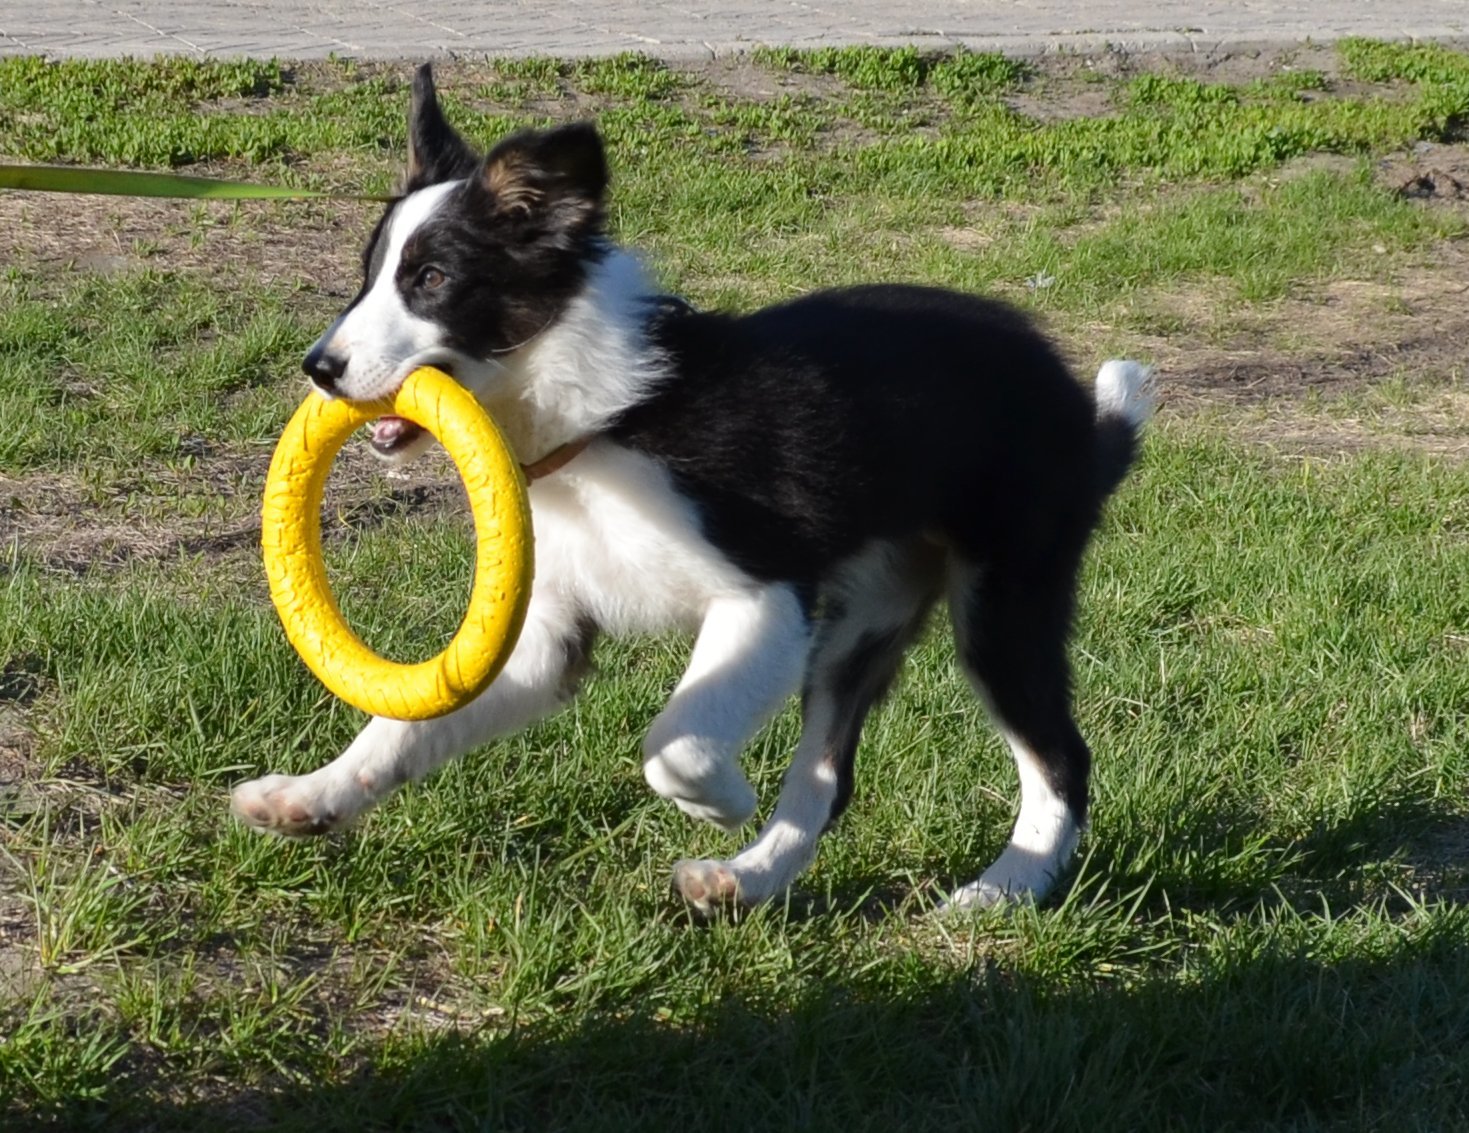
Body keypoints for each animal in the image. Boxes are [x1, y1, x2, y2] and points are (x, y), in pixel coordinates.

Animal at [229, 62, 1151, 916]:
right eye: (369, 274)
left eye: (431, 280)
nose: (320, 369)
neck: (599, 417)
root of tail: (1080, 412)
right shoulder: (542, 639)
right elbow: (405, 725)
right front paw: (305, 797)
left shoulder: (764, 595)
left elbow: (672, 739)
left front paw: (721, 799)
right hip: (865, 618)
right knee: (827, 777)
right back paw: (744, 880)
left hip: (1002, 599)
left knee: (1058, 757)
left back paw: (1004, 887)